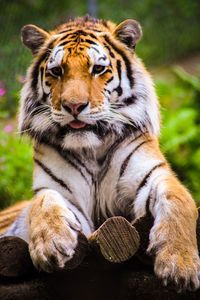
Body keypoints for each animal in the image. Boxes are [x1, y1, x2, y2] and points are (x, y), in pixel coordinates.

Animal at [0, 15, 199, 290]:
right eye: (57, 71)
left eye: (97, 69)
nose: (73, 106)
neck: (92, 147)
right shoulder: (58, 190)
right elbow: (44, 201)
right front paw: (50, 247)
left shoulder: (153, 177)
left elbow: (178, 201)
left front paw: (180, 266)